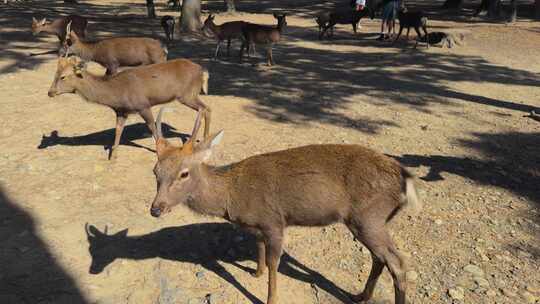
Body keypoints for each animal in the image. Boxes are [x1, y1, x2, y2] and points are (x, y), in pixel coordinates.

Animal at [47, 57, 210, 162]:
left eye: (63, 76)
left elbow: (153, 129)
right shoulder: (121, 112)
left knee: (203, 109)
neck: (116, 95)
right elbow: (118, 130)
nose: (50, 92)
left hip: (187, 94)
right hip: (190, 95)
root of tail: (202, 71)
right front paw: (113, 157)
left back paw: (196, 139)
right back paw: (205, 137)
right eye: (55, 74)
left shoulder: (143, 105)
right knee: (207, 108)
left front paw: (159, 152)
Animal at [149, 109, 422, 304]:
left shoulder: (274, 221)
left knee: (397, 262)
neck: (232, 197)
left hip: (368, 217)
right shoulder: (257, 225)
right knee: (380, 258)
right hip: (372, 221)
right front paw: (255, 273)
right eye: (155, 171)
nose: (156, 209)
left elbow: (274, 264)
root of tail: (404, 177)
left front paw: (270, 298)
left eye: (184, 173)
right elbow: (258, 249)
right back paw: (361, 296)